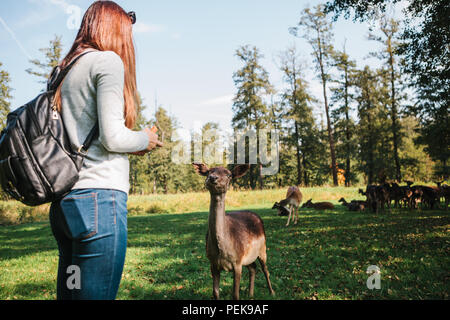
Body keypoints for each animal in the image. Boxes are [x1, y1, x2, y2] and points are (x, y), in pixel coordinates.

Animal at [191, 164, 274, 302]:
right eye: (208, 171)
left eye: (229, 174)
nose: (212, 177)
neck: (222, 251)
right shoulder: (212, 263)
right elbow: (215, 293)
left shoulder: (237, 262)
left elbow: (235, 295)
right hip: (248, 257)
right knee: (253, 267)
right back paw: (250, 294)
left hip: (263, 248)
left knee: (265, 269)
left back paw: (272, 292)